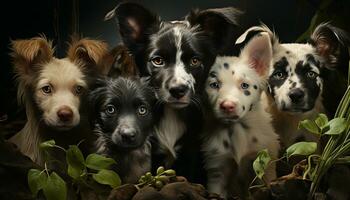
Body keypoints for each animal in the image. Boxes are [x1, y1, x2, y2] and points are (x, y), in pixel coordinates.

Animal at [202, 32, 278, 198]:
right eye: (214, 85)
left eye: (244, 85)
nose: (227, 106)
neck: (237, 129)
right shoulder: (217, 169)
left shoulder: (264, 164)